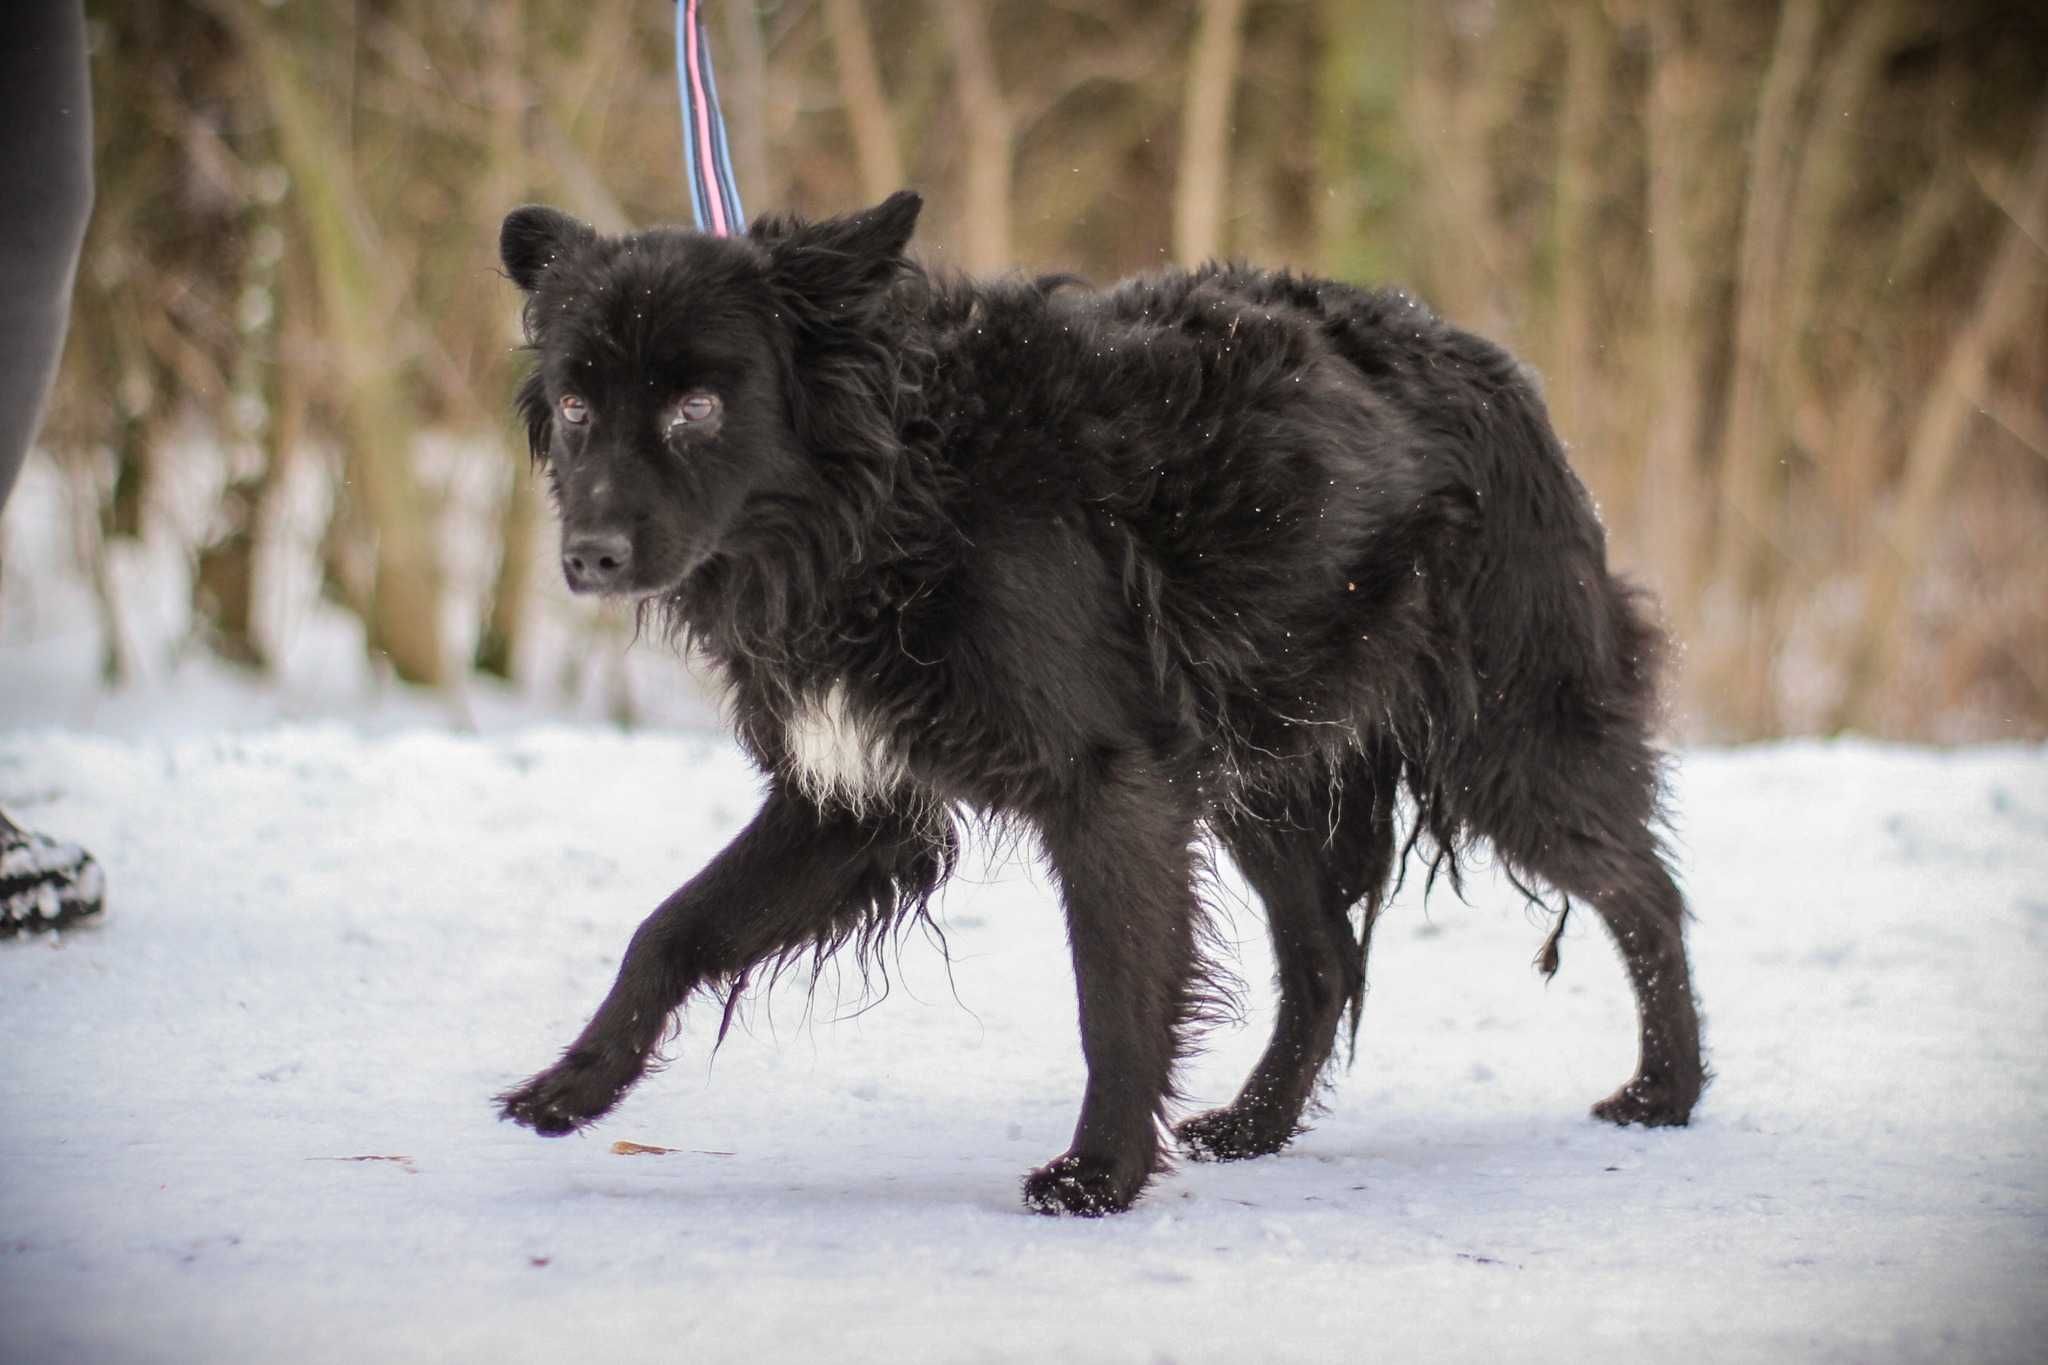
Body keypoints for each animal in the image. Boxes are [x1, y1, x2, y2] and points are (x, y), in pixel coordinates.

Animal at [487, 189, 1703, 1219]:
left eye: (697, 405)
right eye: (578, 404)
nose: (588, 557)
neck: (897, 488)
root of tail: (1492, 364)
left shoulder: (1109, 785)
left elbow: (1115, 993)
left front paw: (1099, 1176)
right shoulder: (853, 803)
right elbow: (669, 927)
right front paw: (577, 1081)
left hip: (1507, 741)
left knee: (1643, 891)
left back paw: (1669, 1089)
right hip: (1264, 775)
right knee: (1325, 960)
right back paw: (1257, 1124)